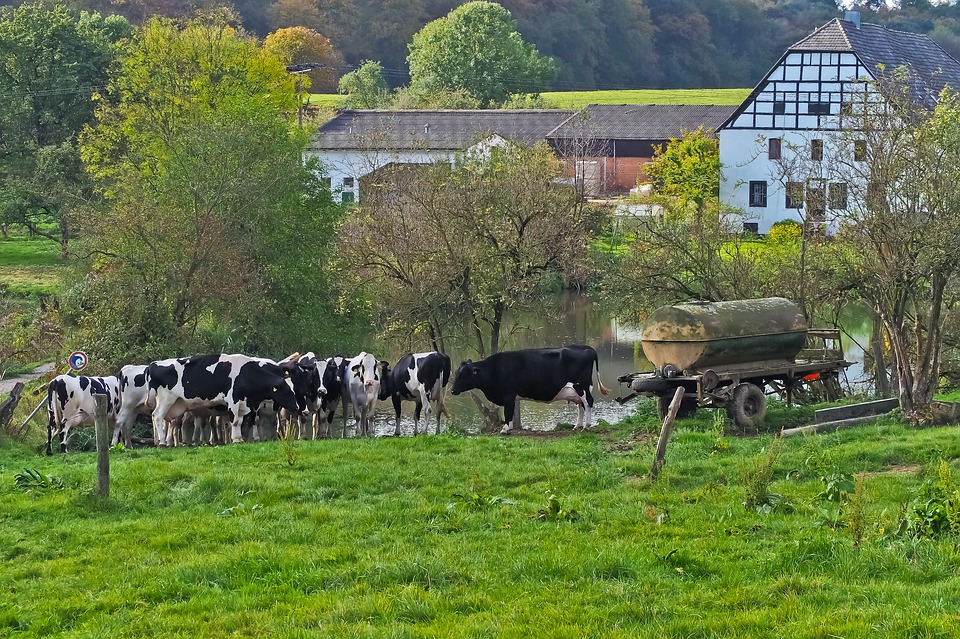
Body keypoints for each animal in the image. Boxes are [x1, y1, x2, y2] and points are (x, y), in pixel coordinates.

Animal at [149, 356, 304, 444]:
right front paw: (236, 440)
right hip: (166, 399)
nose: (297, 407)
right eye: (287, 391)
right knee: (157, 417)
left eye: (294, 389)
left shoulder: (243, 403)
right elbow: (234, 421)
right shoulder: (232, 400)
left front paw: (239, 438)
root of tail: (154, 364)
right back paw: (162, 442)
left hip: (176, 404)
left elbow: (240, 421)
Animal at [450, 344, 608, 436]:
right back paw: (577, 426)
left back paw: (586, 426)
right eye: (456, 373)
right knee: (581, 405)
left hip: (581, 385)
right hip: (578, 390)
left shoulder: (508, 394)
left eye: (463, 375)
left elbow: (508, 412)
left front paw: (505, 429)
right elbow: (510, 413)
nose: (452, 391)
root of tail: (586, 347)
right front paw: (509, 428)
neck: (495, 369)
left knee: (588, 402)